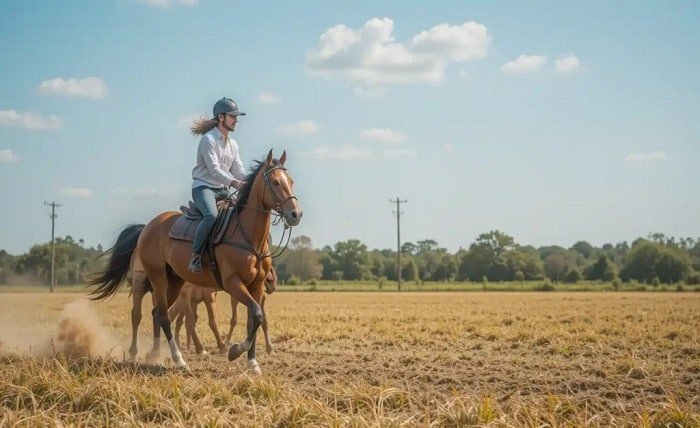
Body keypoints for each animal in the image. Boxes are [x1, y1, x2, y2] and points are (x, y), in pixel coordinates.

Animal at [91, 150, 300, 372]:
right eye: (275, 182)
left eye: (291, 181)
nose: (296, 214)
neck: (246, 236)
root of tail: (146, 227)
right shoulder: (232, 283)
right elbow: (255, 315)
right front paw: (234, 350)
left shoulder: (256, 286)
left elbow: (255, 319)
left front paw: (252, 363)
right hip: (157, 280)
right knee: (159, 316)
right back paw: (178, 360)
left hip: (174, 282)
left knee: (158, 314)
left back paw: (156, 355)